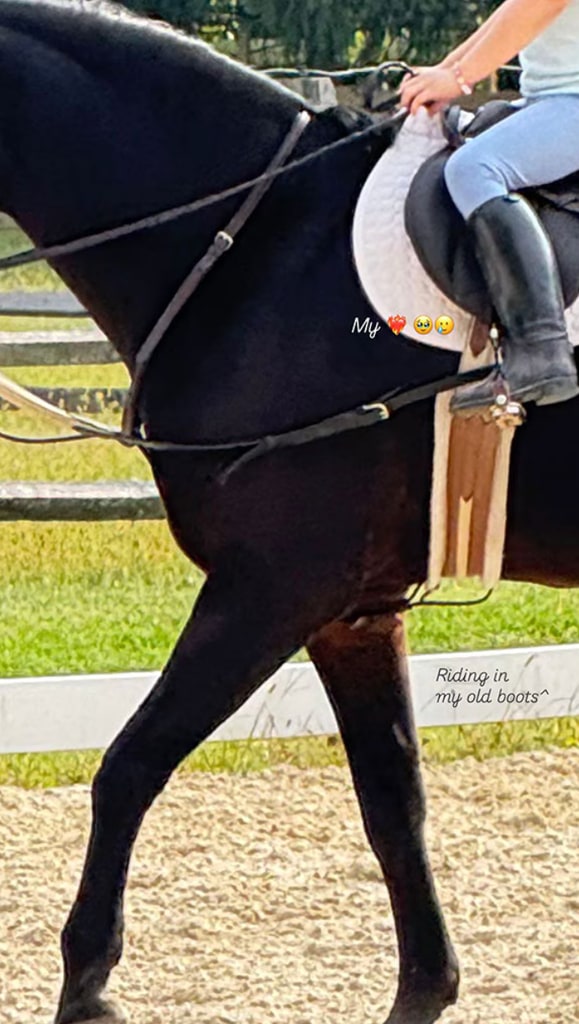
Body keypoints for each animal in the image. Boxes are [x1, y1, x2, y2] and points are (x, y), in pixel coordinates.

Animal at [1, 3, 578, 1024]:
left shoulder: (271, 587)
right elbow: (392, 801)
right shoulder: (351, 609)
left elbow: (129, 766)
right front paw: (424, 990)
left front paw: (89, 988)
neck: (261, 249)